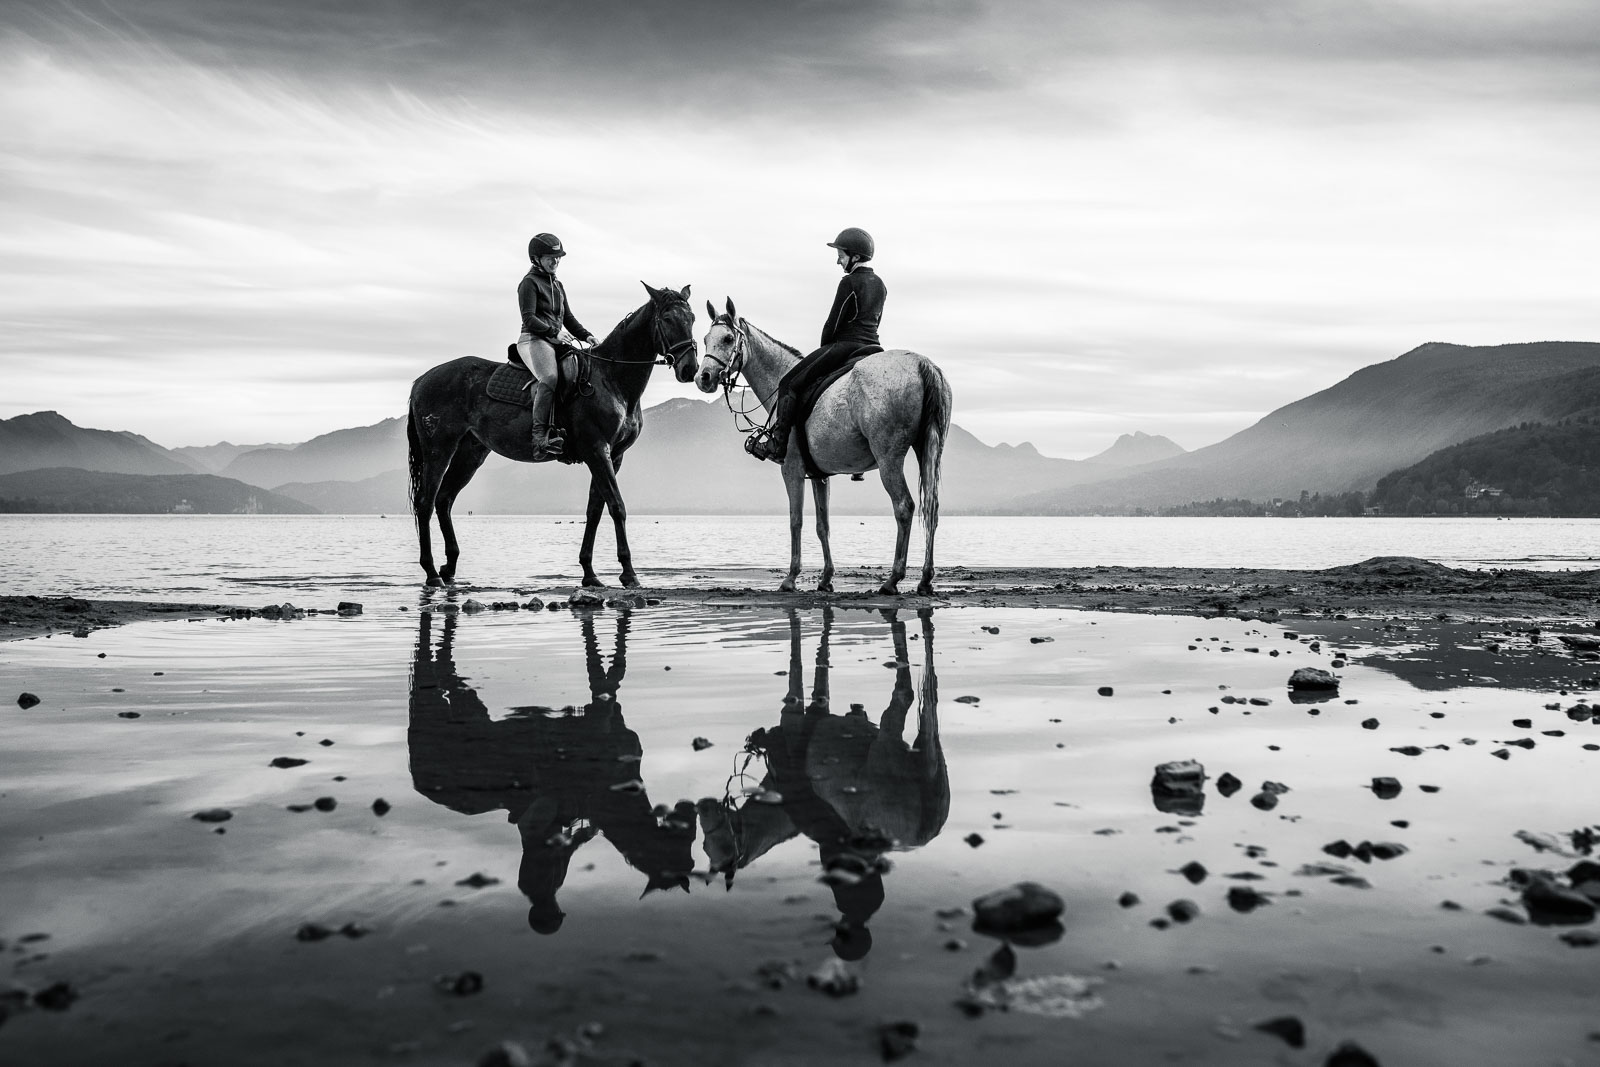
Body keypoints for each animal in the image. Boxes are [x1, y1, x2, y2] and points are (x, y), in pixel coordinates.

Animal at [406, 283, 694, 588]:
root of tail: (421, 380)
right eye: (667, 319)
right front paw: (629, 573)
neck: (611, 378)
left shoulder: (613, 456)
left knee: (444, 499)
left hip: (470, 453)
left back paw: (449, 568)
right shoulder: (597, 450)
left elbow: (594, 511)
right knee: (425, 503)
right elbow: (617, 506)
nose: (690, 368)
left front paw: (589, 573)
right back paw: (431, 572)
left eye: (692, 318)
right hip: (438, 449)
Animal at [697, 300, 947, 598]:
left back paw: (892, 580)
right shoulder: (820, 476)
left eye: (727, 338)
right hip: (928, 449)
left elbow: (796, 521)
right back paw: (925, 579)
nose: (703, 378)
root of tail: (922, 363)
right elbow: (822, 525)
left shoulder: (792, 469)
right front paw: (826, 579)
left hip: (889, 458)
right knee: (931, 508)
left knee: (904, 507)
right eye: (705, 339)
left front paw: (791, 578)